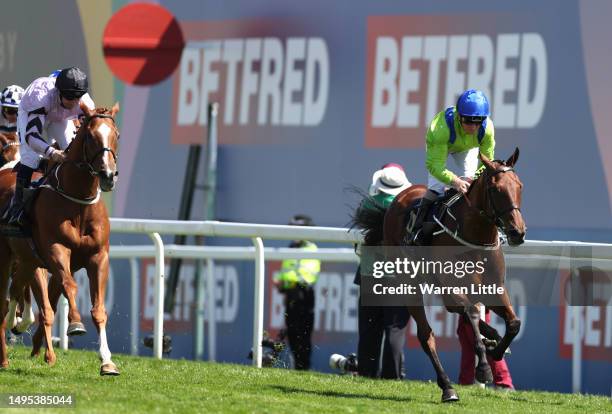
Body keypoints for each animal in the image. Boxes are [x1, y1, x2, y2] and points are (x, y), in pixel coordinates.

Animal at [0, 102, 120, 376]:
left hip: (27, 260)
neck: (78, 202)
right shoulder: (56, 251)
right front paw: (75, 324)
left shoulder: (99, 257)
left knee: (15, 291)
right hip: (5, 257)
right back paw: (4, 358)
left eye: (116, 135)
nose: (108, 175)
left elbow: (98, 309)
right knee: (3, 300)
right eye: (91, 136)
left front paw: (107, 361)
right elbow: (68, 287)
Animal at [354, 149, 524, 402]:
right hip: (410, 285)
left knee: (454, 310)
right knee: (427, 335)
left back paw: (491, 336)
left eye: (519, 186)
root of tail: (399, 199)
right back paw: (448, 387)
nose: (517, 232)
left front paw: (495, 349)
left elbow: (514, 323)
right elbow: (471, 312)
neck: (475, 236)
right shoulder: (454, 285)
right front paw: (484, 367)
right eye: (496, 189)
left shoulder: (493, 288)